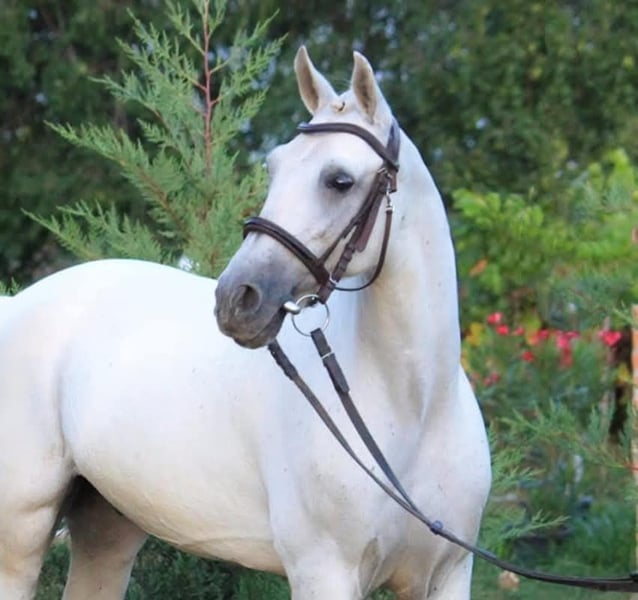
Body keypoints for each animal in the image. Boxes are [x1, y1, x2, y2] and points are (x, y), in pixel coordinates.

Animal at [0, 47, 490, 599]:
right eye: (274, 168)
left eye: (339, 180)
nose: (236, 299)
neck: (417, 407)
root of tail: (15, 305)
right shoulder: (324, 570)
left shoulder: (447, 575)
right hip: (20, 531)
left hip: (107, 527)